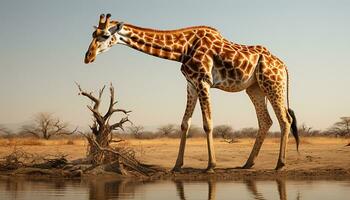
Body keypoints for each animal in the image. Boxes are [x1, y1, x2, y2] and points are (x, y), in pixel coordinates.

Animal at [84, 13, 298, 171]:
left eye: (104, 36)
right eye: (92, 35)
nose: (88, 57)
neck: (182, 49)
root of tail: (284, 65)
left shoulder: (203, 81)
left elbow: (207, 123)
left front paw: (211, 165)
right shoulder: (191, 83)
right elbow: (184, 123)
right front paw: (177, 165)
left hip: (273, 83)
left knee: (284, 119)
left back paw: (280, 164)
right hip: (254, 88)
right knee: (266, 121)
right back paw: (248, 163)